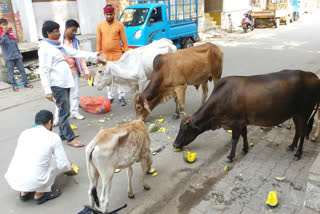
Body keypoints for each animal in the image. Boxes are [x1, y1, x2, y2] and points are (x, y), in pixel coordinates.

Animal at [174, 70, 320, 162]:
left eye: (185, 129)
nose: (174, 144)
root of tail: (314, 76)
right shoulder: (242, 122)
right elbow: (244, 135)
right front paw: (245, 149)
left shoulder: (236, 123)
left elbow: (234, 139)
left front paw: (230, 156)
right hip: (296, 114)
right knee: (298, 131)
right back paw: (291, 146)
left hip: (304, 113)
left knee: (302, 132)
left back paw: (298, 153)